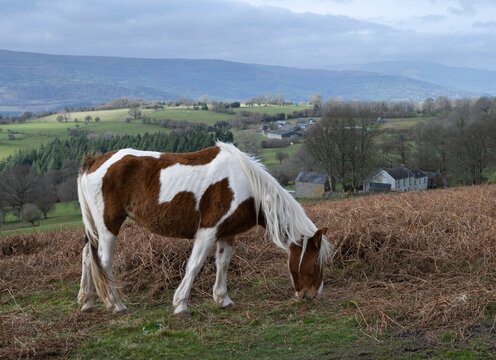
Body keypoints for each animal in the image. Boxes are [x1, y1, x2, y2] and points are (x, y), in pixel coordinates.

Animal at [76, 141, 334, 316]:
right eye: (315, 263)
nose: (312, 295)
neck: (247, 184)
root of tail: (93, 162)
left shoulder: (227, 234)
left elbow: (223, 264)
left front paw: (223, 299)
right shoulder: (208, 232)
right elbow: (195, 265)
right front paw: (181, 305)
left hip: (96, 229)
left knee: (87, 256)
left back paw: (87, 301)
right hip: (108, 226)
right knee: (103, 261)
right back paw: (116, 305)